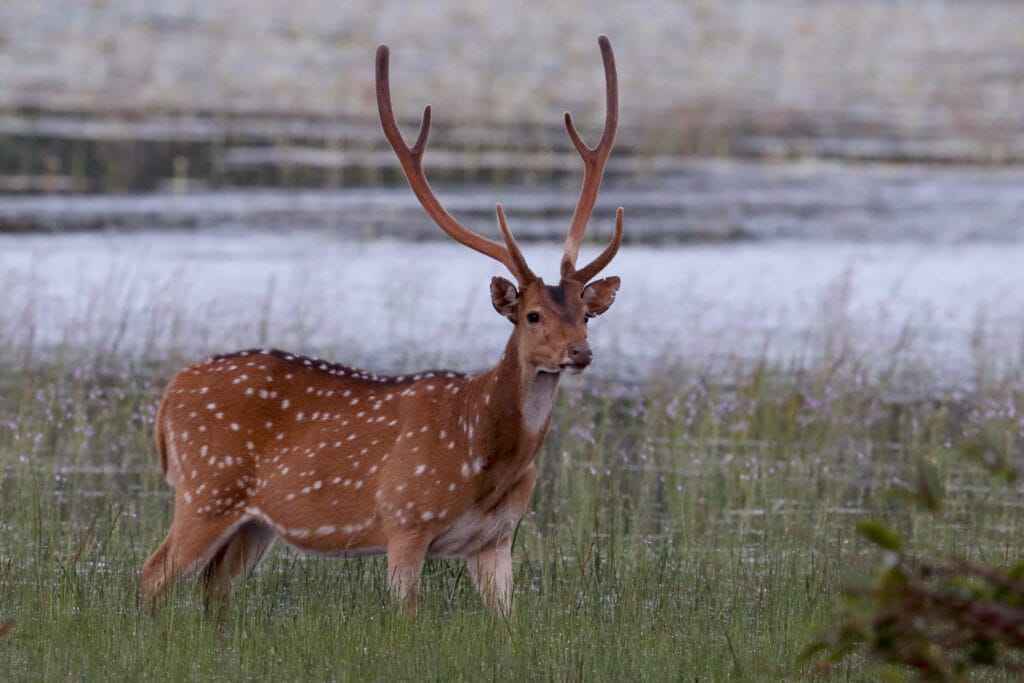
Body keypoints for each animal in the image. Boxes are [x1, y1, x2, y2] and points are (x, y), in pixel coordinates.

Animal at [141, 35, 623, 617]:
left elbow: (509, 620)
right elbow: (408, 617)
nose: (580, 352)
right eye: (533, 315)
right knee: (153, 572)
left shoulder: (498, 539)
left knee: (213, 590)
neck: (485, 458)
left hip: (253, 522)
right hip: (206, 487)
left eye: (585, 314)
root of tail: (169, 396)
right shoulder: (405, 517)